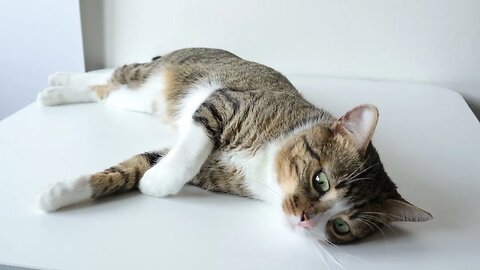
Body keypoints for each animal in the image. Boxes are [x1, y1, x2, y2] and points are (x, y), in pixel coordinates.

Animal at [36, 47, 432, 245]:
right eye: (321, 181)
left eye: (342, 227)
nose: (305, 221)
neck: (266, 167)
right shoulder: (227, 102)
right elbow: (192, 145)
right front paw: (161, 181)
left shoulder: (214, 173)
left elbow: (131, 168)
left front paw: (59, 194)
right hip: (153, 75)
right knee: (113, 73)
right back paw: (58, 82)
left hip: (140, 100)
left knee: (105, 91)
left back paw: (56, 91)